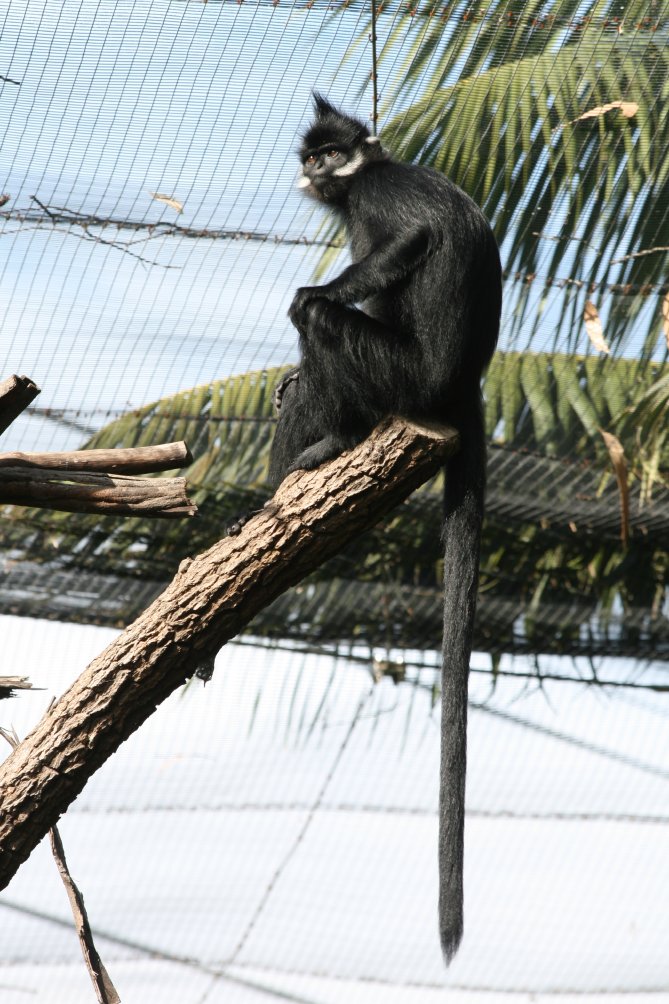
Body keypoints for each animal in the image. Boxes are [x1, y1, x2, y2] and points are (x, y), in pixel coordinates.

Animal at [268, 94, 501, 963]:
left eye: (332, 153)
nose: (316, 169)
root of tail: (461, 384)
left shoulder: (378, 198)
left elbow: (409, 241)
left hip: (401, 376)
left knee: (321, 315)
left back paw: (332, 435)